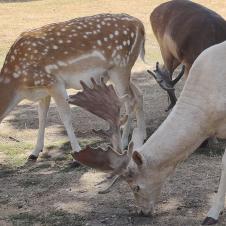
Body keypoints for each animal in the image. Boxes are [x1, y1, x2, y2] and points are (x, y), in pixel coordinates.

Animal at [0, 13, 147, 162]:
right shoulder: (43, 90)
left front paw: (77, 151)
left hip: (121, 67)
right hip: (118, 72)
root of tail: (139, 24)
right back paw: (142, 136)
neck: (17, 84)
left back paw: (124, 142)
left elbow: (65, 116)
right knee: (138, 93)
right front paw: (34, 152)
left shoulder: (54, 82)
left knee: (129, 102)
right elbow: (41, 117)